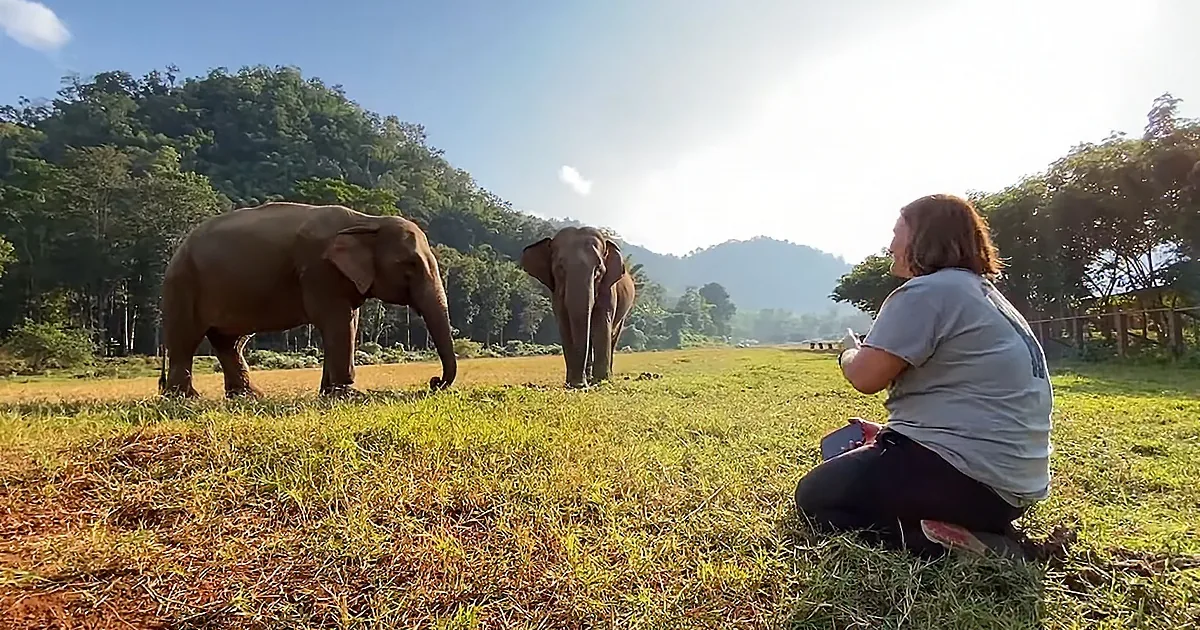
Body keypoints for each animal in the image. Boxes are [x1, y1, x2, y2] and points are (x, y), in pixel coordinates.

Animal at [157, 201, 456, 398]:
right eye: (410, 264)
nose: (434, 381)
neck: (367, 221)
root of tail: (179, 248)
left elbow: (346, 322)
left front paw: (329, 394)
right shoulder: (319, 271)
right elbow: (338, 323)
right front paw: (348, 395)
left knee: (229, 342)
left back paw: (248, 396)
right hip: (183, 284)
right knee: (186, 339)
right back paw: (185, 398)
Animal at [520, 226, 635, 388]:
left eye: (598, 270)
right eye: (560, 268)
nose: (581, 385)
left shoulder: (608, 289)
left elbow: (601, 323)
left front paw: (600, 382)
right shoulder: (556, 294)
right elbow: (564, 324)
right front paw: (573, 384)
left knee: (613, 335)